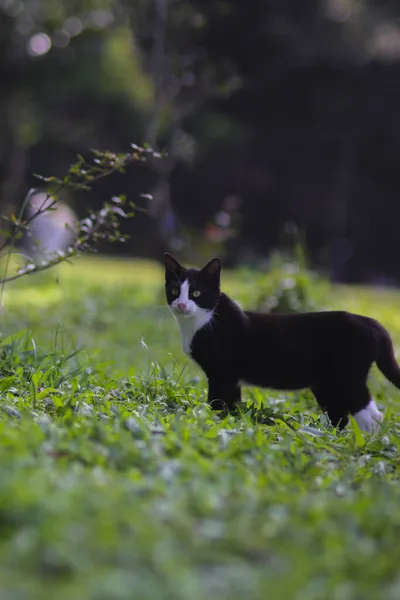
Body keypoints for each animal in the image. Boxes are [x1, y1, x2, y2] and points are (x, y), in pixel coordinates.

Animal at [164, 252, 400, 432]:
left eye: (196, 293)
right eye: (175, 291)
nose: (182, 305)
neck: (201, 323)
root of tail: (373, 323)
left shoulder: (221, 374)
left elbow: (217, 402)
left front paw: (211, 421)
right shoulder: (231, 379)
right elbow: (231, 404)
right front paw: (230, 422)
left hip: (348, 377)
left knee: (372, 415)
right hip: (327, 383)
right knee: (339, 414)